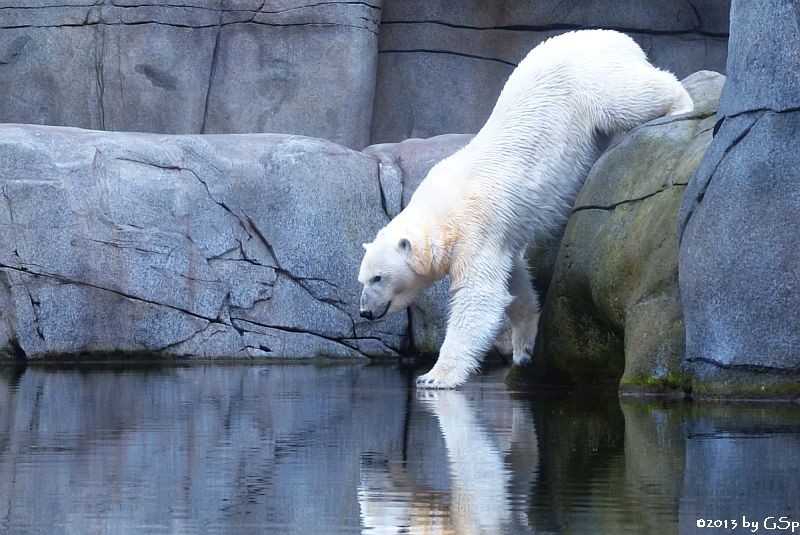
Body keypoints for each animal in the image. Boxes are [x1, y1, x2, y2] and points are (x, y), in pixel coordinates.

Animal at [360, 30, 692, 390]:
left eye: (378, 277)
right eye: (362, 278)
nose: (364, 312)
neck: (441, 212)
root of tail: (618, 39)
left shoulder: (475, 228)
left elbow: (480, 296)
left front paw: (435, 376)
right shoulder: (498, 236)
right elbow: (515, 279)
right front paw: (524, 346)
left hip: (591, 80)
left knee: (628, 97)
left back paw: (682, 104)